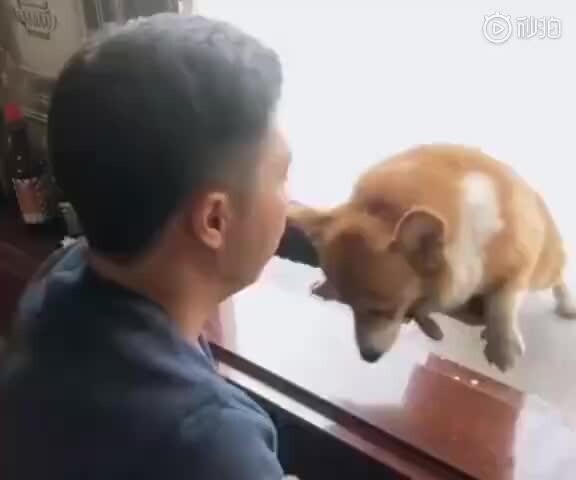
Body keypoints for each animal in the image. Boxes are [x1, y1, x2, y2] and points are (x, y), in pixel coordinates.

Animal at [288, 144, 575, 371]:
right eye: (347, 306)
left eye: (385, 310)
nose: (368, 357)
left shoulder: (519, 261)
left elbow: (503, 301)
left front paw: (502, 346)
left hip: (546, 268)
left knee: (558, 278)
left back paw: (566, 305)